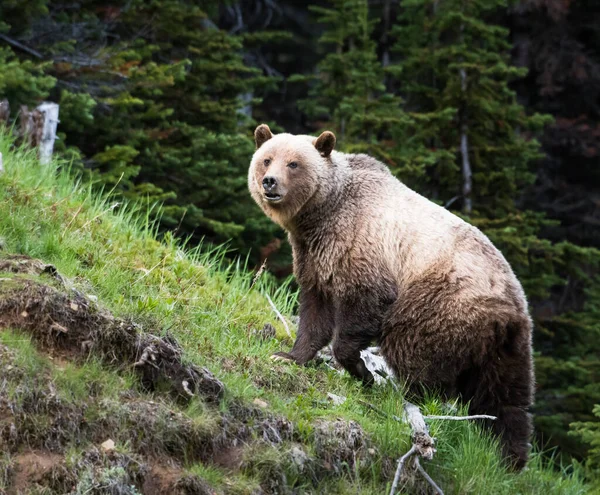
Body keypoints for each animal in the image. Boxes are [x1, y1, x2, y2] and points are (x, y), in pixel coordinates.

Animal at [248, 123, 536, 468]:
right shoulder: (314, 257)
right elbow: (315, 310)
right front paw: (289, 355)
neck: (321, 214)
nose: (270, 181)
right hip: (508, 345)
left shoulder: (361, 248)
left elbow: (363, 305)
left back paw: (411, 398)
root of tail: (509, 310)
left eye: (294, 164)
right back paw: (510, 455)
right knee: (505, 397)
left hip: (440, 302)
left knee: (413, 349)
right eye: (267, 159)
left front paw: (362, 373)